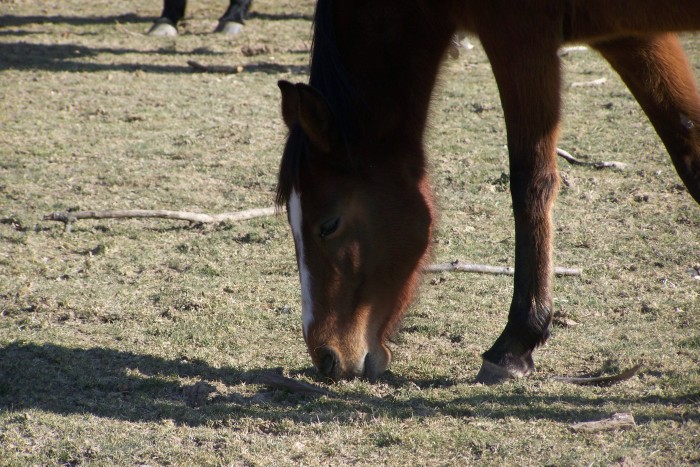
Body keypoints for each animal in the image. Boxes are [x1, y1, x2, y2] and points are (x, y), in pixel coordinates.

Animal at [274, 0, 700, 384]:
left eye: (329, 224)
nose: (326, 356)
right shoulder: (631, 34)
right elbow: (689, 147)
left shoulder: (519, 36)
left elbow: (530, 182)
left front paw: (514, 345)